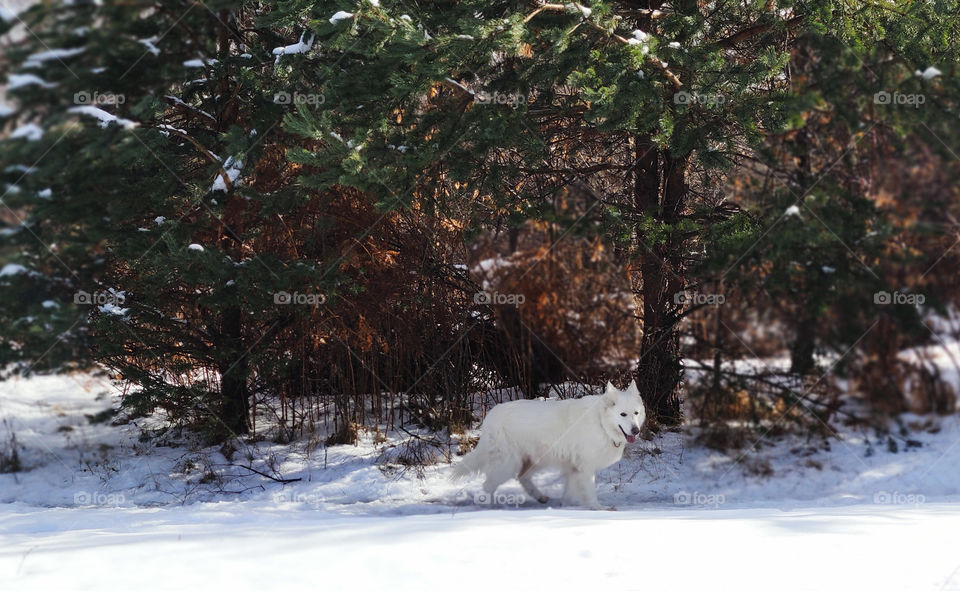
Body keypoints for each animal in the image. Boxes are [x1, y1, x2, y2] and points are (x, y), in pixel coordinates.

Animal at [456, 382, 648, 512]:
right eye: (623, 414)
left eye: (636, 413)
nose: (636, 430)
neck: (601, 422)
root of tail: (491, 415)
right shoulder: (585, 468)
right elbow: (590, 491)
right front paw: (597, 508)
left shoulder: (573, 469)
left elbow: (569, 493)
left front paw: (565, 506)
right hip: (508, 464)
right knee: (489, 485)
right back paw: (492, 507)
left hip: (537, 460)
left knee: (522, 477)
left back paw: (540, 497)